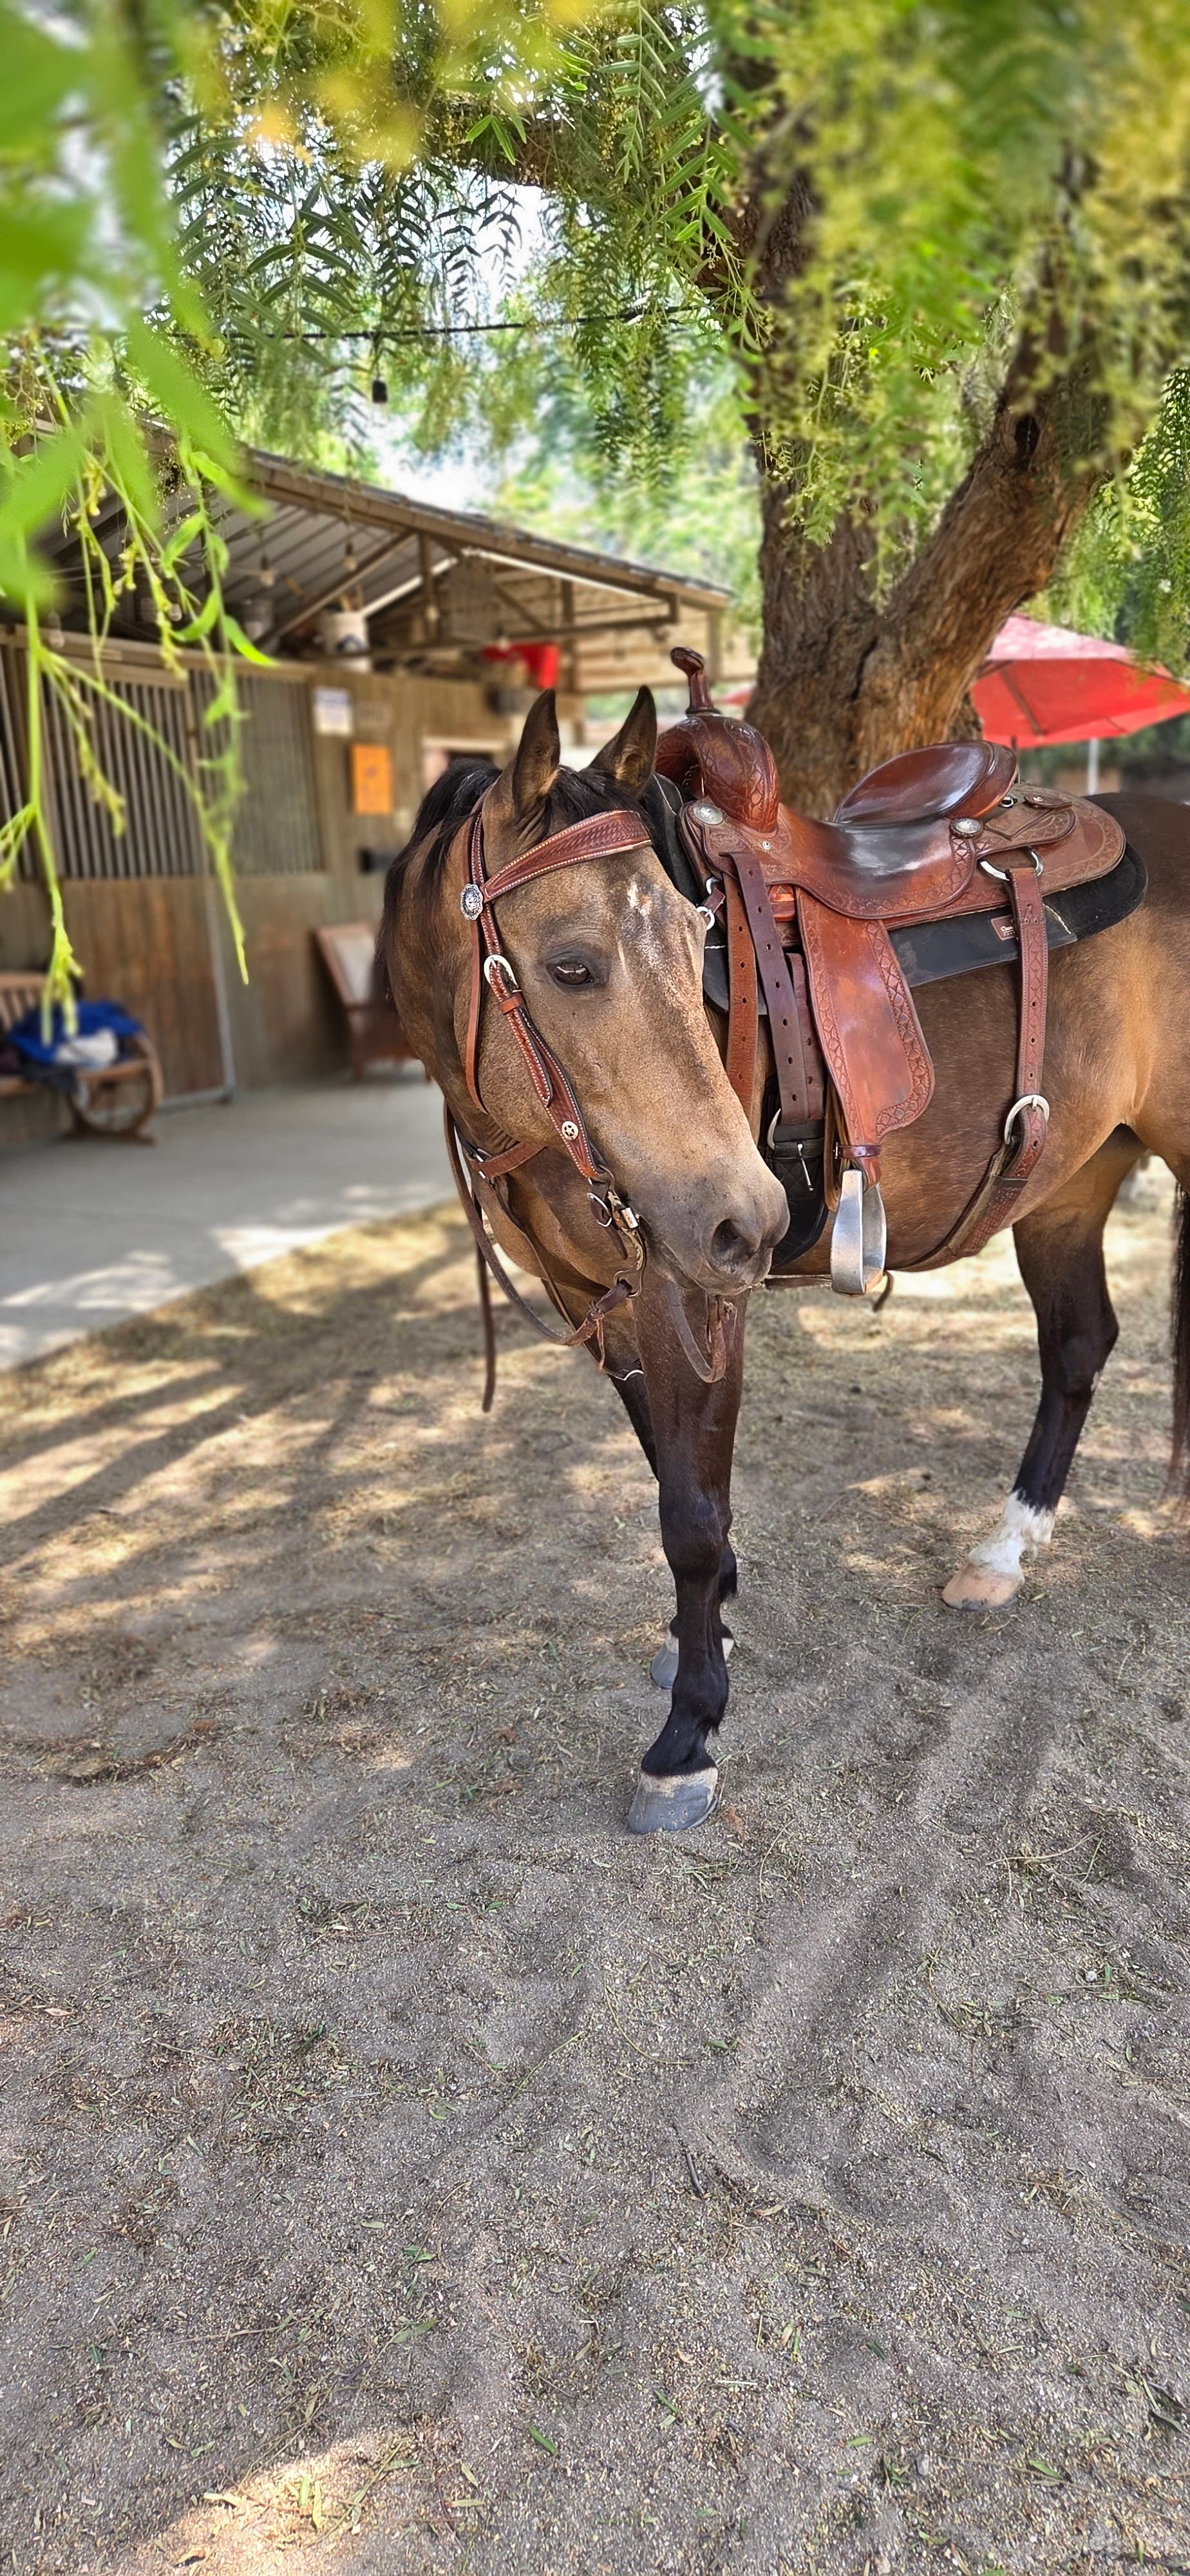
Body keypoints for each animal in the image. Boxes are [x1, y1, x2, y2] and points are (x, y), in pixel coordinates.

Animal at [380, 684, 1190, 1833]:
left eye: (697, 939)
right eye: (571, 966)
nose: (752, 1221)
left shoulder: (691, 1292)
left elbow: (691, 1512)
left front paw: (689, 1731)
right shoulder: (605, 1300)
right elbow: (668, 1472)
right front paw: (708, 1629)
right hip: (1071, 1181)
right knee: (1079, 1346)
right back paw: (1002, 1552)